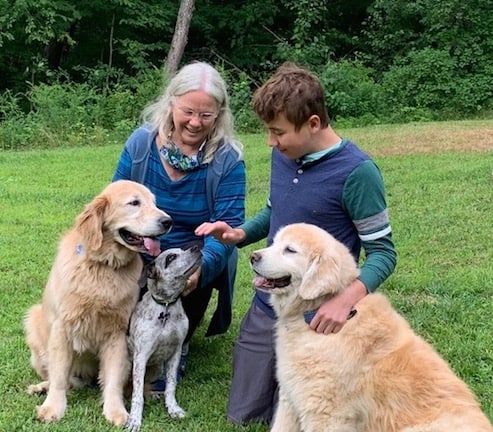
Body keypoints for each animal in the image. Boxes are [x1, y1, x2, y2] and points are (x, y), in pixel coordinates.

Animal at [24, 180, 172, 426]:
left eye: (154, 203)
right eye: (134, 203)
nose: (168, 221)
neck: (104, 265)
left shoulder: (118, 333)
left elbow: (113, 378)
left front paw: (116, 411)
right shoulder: (62, 329)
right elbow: (59, 376)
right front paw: (53, 407)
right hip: (34, 324)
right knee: (67, 379)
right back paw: (41, 387)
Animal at [126, 245, 201, 430]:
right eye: (171, 257)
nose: (196, 246)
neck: (166, 307)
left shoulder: (175, 353)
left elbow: (171, 386)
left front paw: (173, 409)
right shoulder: (141, 357)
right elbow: (137, 396)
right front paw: (134, 420)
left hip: (158, 368)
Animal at [252, 223, 490, 432]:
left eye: (290, 250)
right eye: (274, 243)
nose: (253, 256)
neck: (311, 312)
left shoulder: (325, 413)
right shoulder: (291, 398)